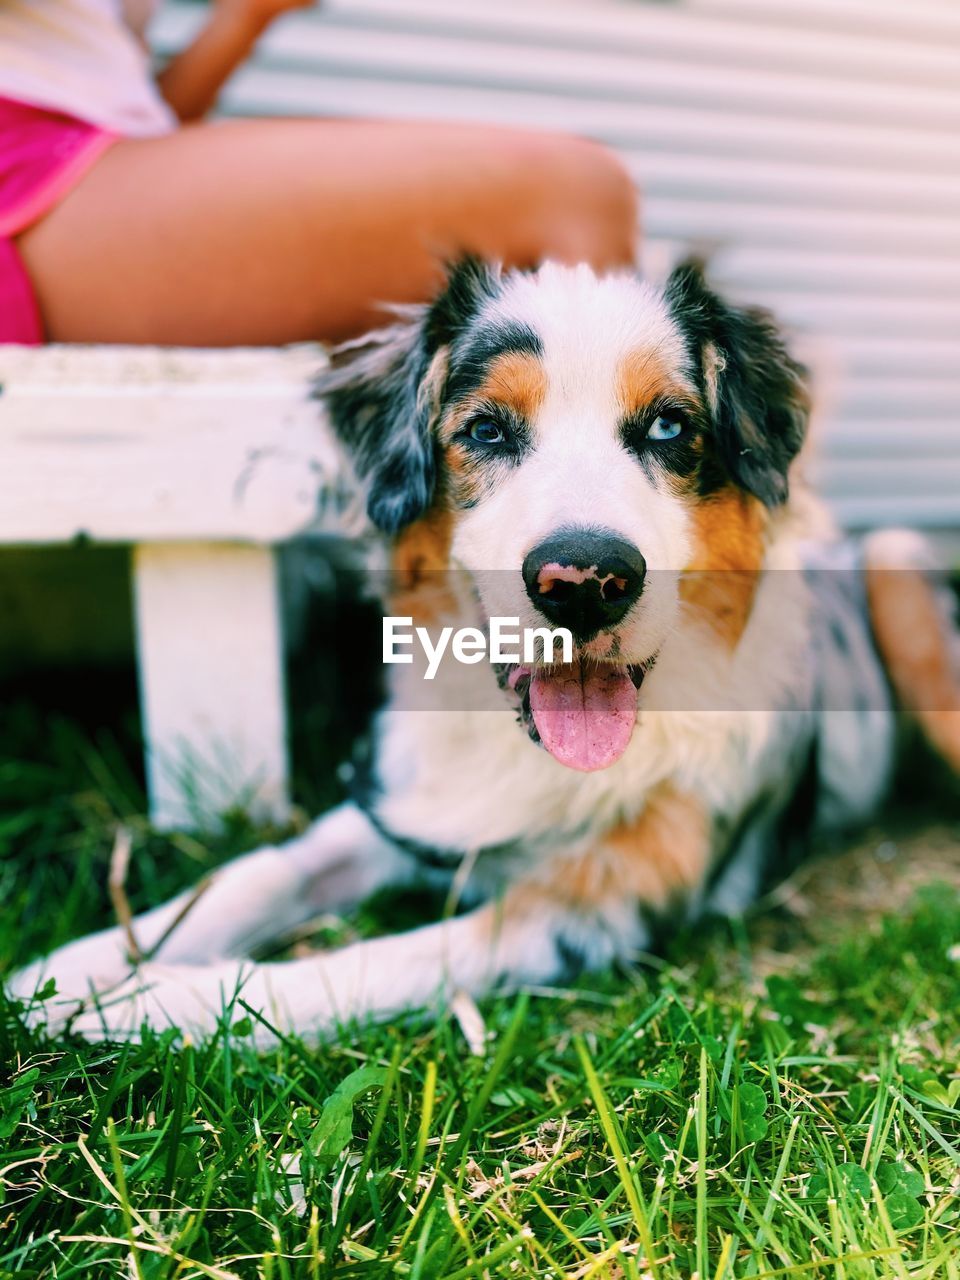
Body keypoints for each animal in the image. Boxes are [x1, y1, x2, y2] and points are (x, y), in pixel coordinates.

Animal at [9, 257, 960, 1039]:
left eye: (667, 428)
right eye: (488, 430)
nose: (586, 581)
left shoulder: (600, 903)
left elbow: (381, 960)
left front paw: (156, 1004)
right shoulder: (406, 811)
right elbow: (255, 874)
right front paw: (75, 971)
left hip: (897, 568)